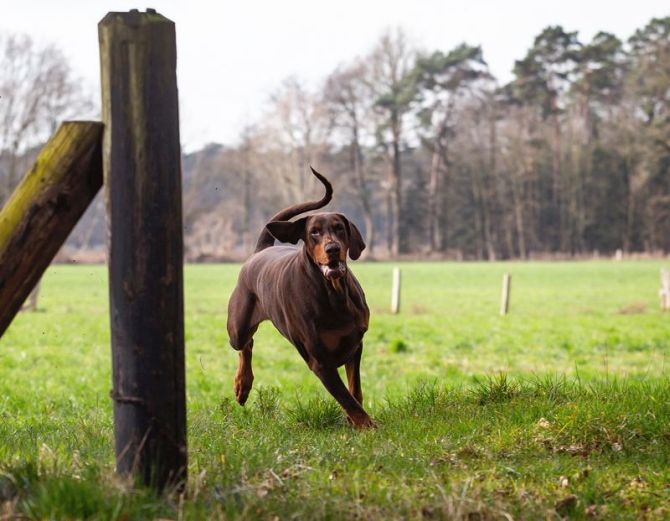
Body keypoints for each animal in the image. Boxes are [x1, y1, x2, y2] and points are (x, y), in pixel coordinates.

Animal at [227, 168, 374, 428]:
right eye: (314, 232)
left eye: (339, 228)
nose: (333, 249)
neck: (334, 294)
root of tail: (261, 251)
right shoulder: (319, 361)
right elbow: (346, 398)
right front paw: (367, 426)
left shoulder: (355, 343)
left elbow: (354, 390)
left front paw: (356, 422)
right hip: (237, 326)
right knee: (245, 343)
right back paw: (242, 385)